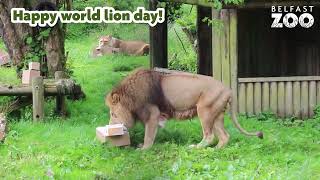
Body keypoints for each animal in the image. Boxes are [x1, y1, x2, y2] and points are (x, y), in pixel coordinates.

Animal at [105, 68, 262, 149]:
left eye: (113, 114)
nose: (110, 126)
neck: (130, 98)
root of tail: (228, 90)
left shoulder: (152, 114)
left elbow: (148, 135)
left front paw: (144, 149)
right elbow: (150, 134)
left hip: (204, 111)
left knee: (209, 135)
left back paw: (196, 148)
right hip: (216, 115)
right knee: (224, 136)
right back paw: (216, 150)